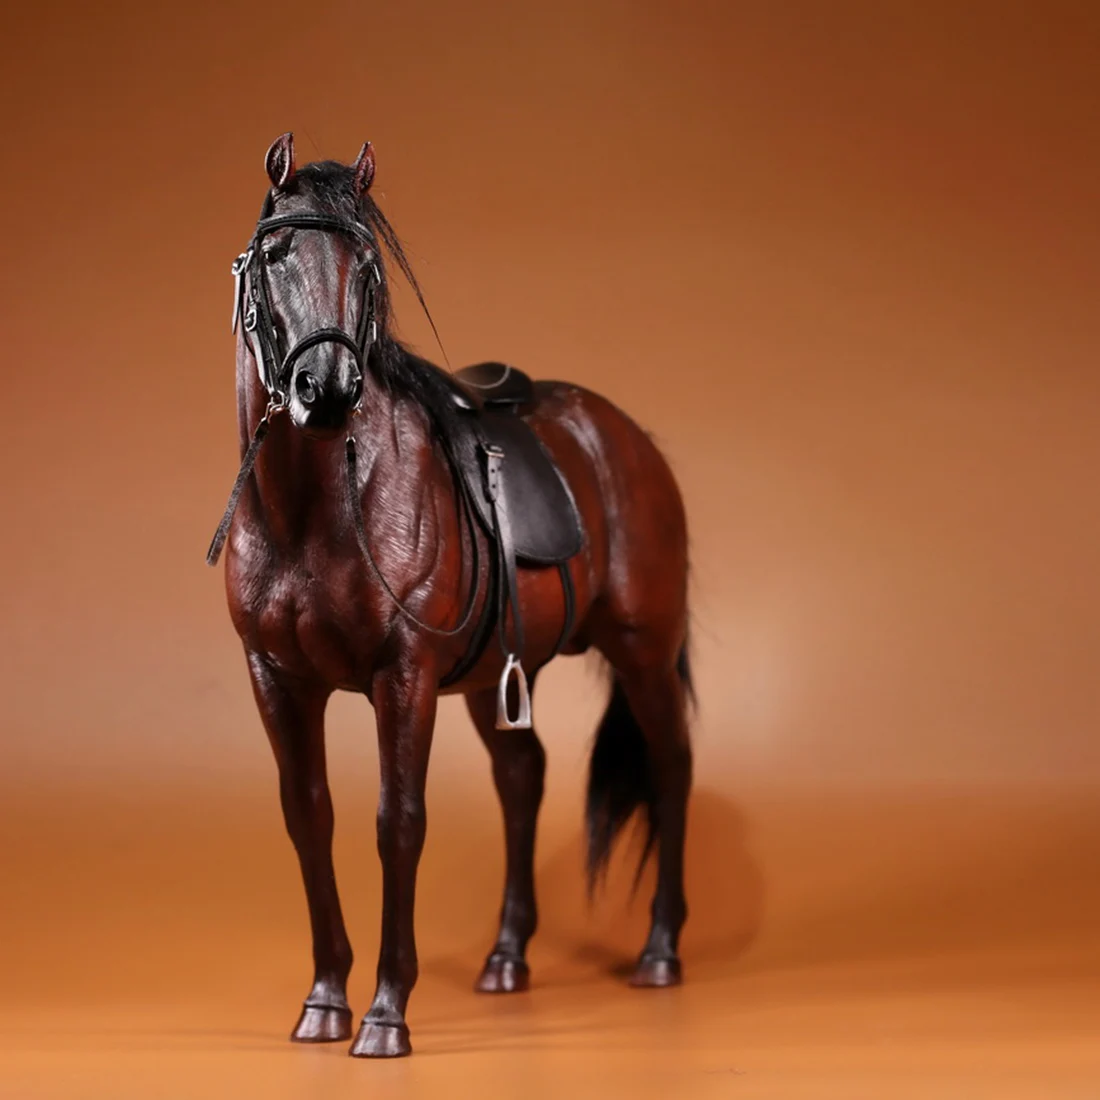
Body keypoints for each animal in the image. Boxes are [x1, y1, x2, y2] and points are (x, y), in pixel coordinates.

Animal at [207, 132, 694, 1059]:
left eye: (367, 266)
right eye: (276, 257)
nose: (327, 391)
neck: (314, 506)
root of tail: (625, 438)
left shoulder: (404, 679)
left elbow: (399, 822)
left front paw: (386, 1012)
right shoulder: (274, 679)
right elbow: (309, 818)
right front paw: (325, 1001)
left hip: (642, 649)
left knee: (669, 766)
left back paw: (658, 951)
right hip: (494, 676)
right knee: (523, 777)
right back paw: (507, 958)